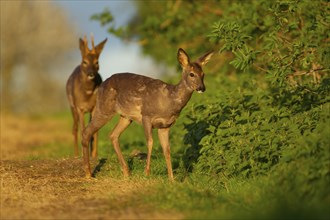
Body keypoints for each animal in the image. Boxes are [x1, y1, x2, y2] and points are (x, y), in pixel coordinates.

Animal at [81, 48, 213, 180]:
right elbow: (150, 142)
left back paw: (126, 172)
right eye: (192, 74)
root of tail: (100, 86)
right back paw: (88, 173)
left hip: (126, 117)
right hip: (104, 108)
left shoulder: (165, 126)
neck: (169, 100)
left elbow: (167, 149)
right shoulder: (146, 116)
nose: (202, 88)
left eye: (203, 74)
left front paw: (172, 179)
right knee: (87, 132)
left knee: (113, 135)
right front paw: (147, 172)